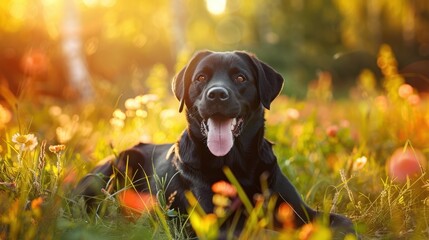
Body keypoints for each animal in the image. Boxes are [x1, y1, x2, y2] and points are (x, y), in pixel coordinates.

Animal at [76, 49, 354, 237]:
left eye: (240, 78)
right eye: (200, 78)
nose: (217, 94)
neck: (237, 163)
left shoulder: (302, 211)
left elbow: (345, 222)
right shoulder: (214, 224)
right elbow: (266, 233)